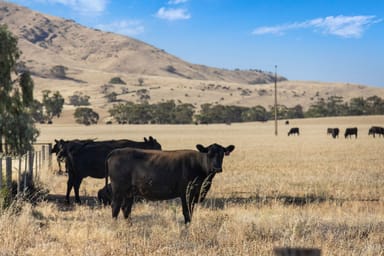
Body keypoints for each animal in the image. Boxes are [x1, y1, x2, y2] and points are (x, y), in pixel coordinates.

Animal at [106, 143, 236, 223]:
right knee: (115, 207)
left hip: (129, 192)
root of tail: (116, 151)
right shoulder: (186, 194)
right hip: (118, 190)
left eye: (222, 154)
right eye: (209, 154)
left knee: (126, 209)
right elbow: (187, 213)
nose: (217, 168)